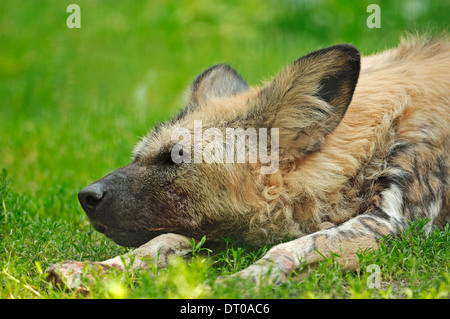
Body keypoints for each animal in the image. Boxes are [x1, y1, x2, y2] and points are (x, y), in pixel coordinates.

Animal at [47, 35, 448, 288]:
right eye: (137, 157)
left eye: (174, 159)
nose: (86, 196)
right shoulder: (211, 225)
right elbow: (159, 242)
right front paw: (96, 270)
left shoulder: (393, 224)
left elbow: (286, 249)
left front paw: (235, 284)